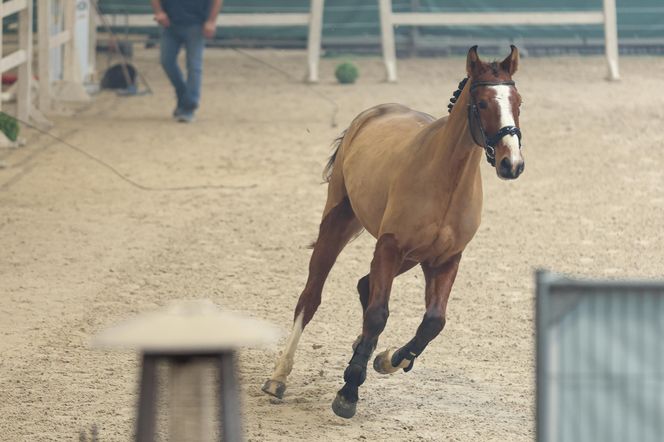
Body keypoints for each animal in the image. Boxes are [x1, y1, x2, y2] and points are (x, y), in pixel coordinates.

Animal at [262, 46, 528, 420]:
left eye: (518, 101)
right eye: (483, 103)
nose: (511, 164)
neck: (445, 181)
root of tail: (371, 114)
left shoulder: (445, 260)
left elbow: (433, 322)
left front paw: (387, 359)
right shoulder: (390, 247)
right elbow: (378, 314)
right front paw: (348, 391)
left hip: (412, 258)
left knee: (364, 284)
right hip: (339, 225)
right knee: (311, 297)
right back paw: (278, 377)